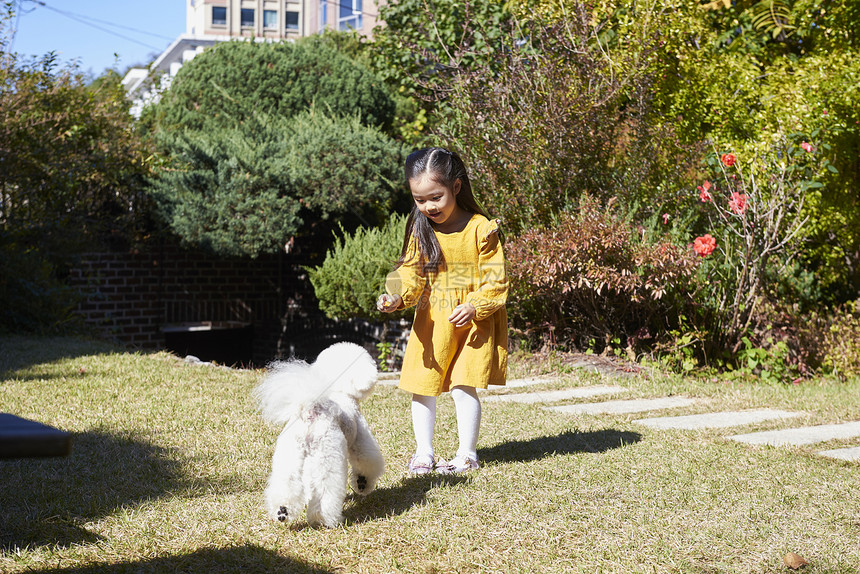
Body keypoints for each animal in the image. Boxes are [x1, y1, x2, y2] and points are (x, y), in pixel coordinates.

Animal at [254, 344, 384, 528]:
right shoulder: (361, 438)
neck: (341, 392)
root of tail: (311, 411)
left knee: (287, 482)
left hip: (290, 454)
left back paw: (282, 510)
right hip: (327, 455)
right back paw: (323, 519)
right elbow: (366, 461)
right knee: (325, 490)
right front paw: (362, 483)